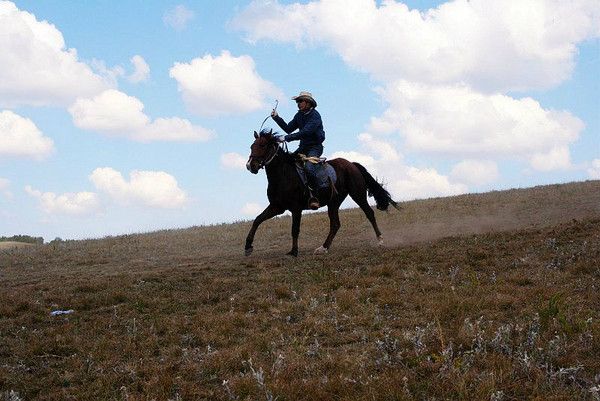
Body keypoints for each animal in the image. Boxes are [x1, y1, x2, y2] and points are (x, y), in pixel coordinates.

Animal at [244, 128, 398, 256]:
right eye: (252, 146)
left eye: (262, 146)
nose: (250, 166)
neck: (284, 174)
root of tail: (351, 164)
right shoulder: (277, 207)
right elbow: (257, 220)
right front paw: (248, 247)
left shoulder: (296, 208)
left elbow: (295, 229)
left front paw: (294, 251)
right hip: (334, 202)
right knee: (335, 224)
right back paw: (324, 247)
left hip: (358, 195)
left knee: (369, 213)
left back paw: (380, 240)